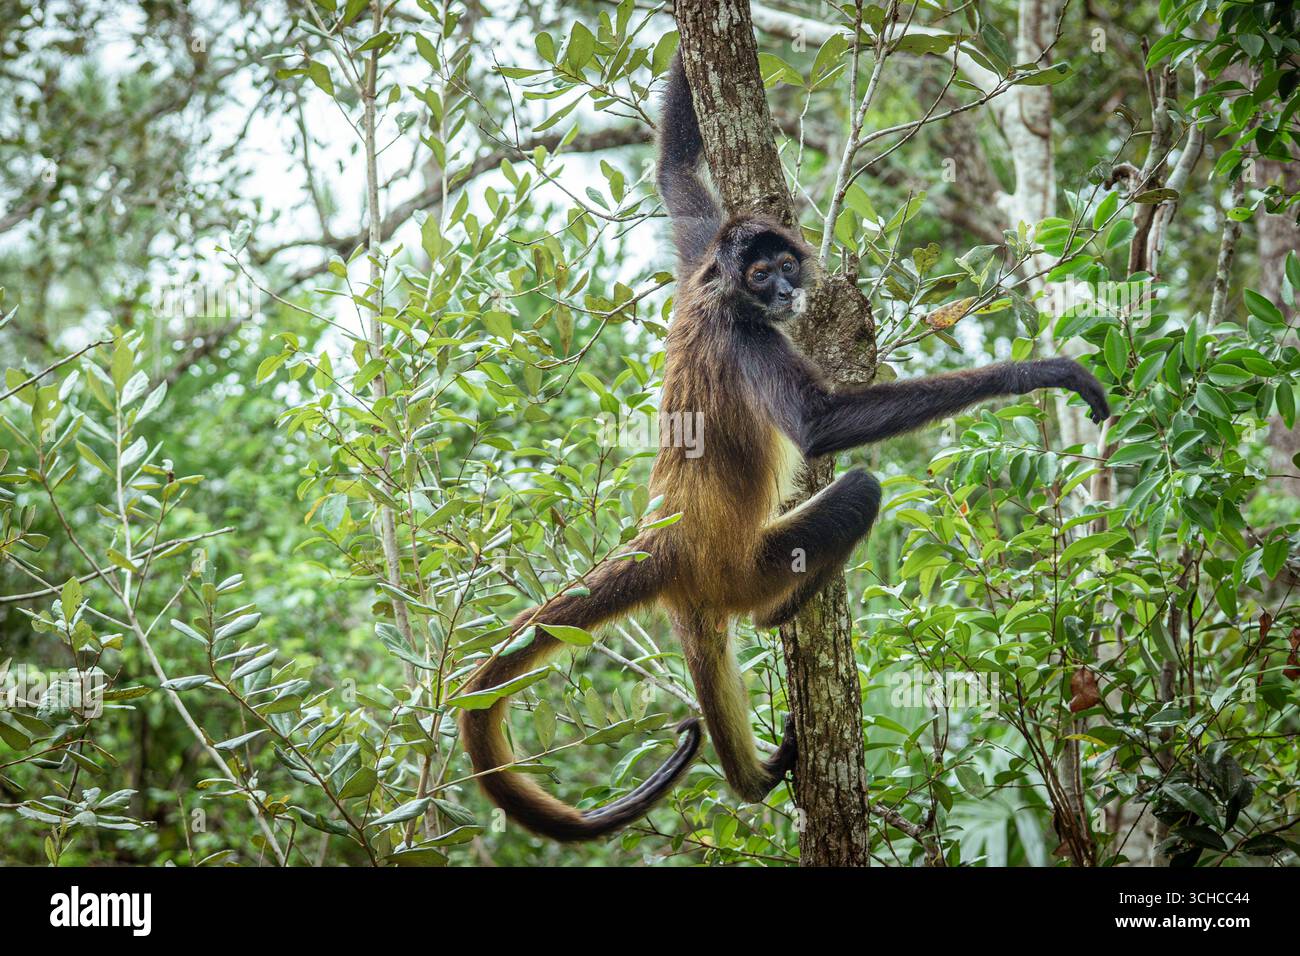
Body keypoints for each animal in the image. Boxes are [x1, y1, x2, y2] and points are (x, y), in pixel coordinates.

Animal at [457, 52, 1110, 843]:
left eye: (783, 266)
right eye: (760, 274)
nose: (782, 289)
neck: (723, 297)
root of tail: (665, 534)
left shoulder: (701, 253)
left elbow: (675, 172)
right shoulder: (746, 332)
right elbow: (821, 422)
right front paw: (1034, 373)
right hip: (748, 567)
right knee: (858, 490)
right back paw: (778, 629)